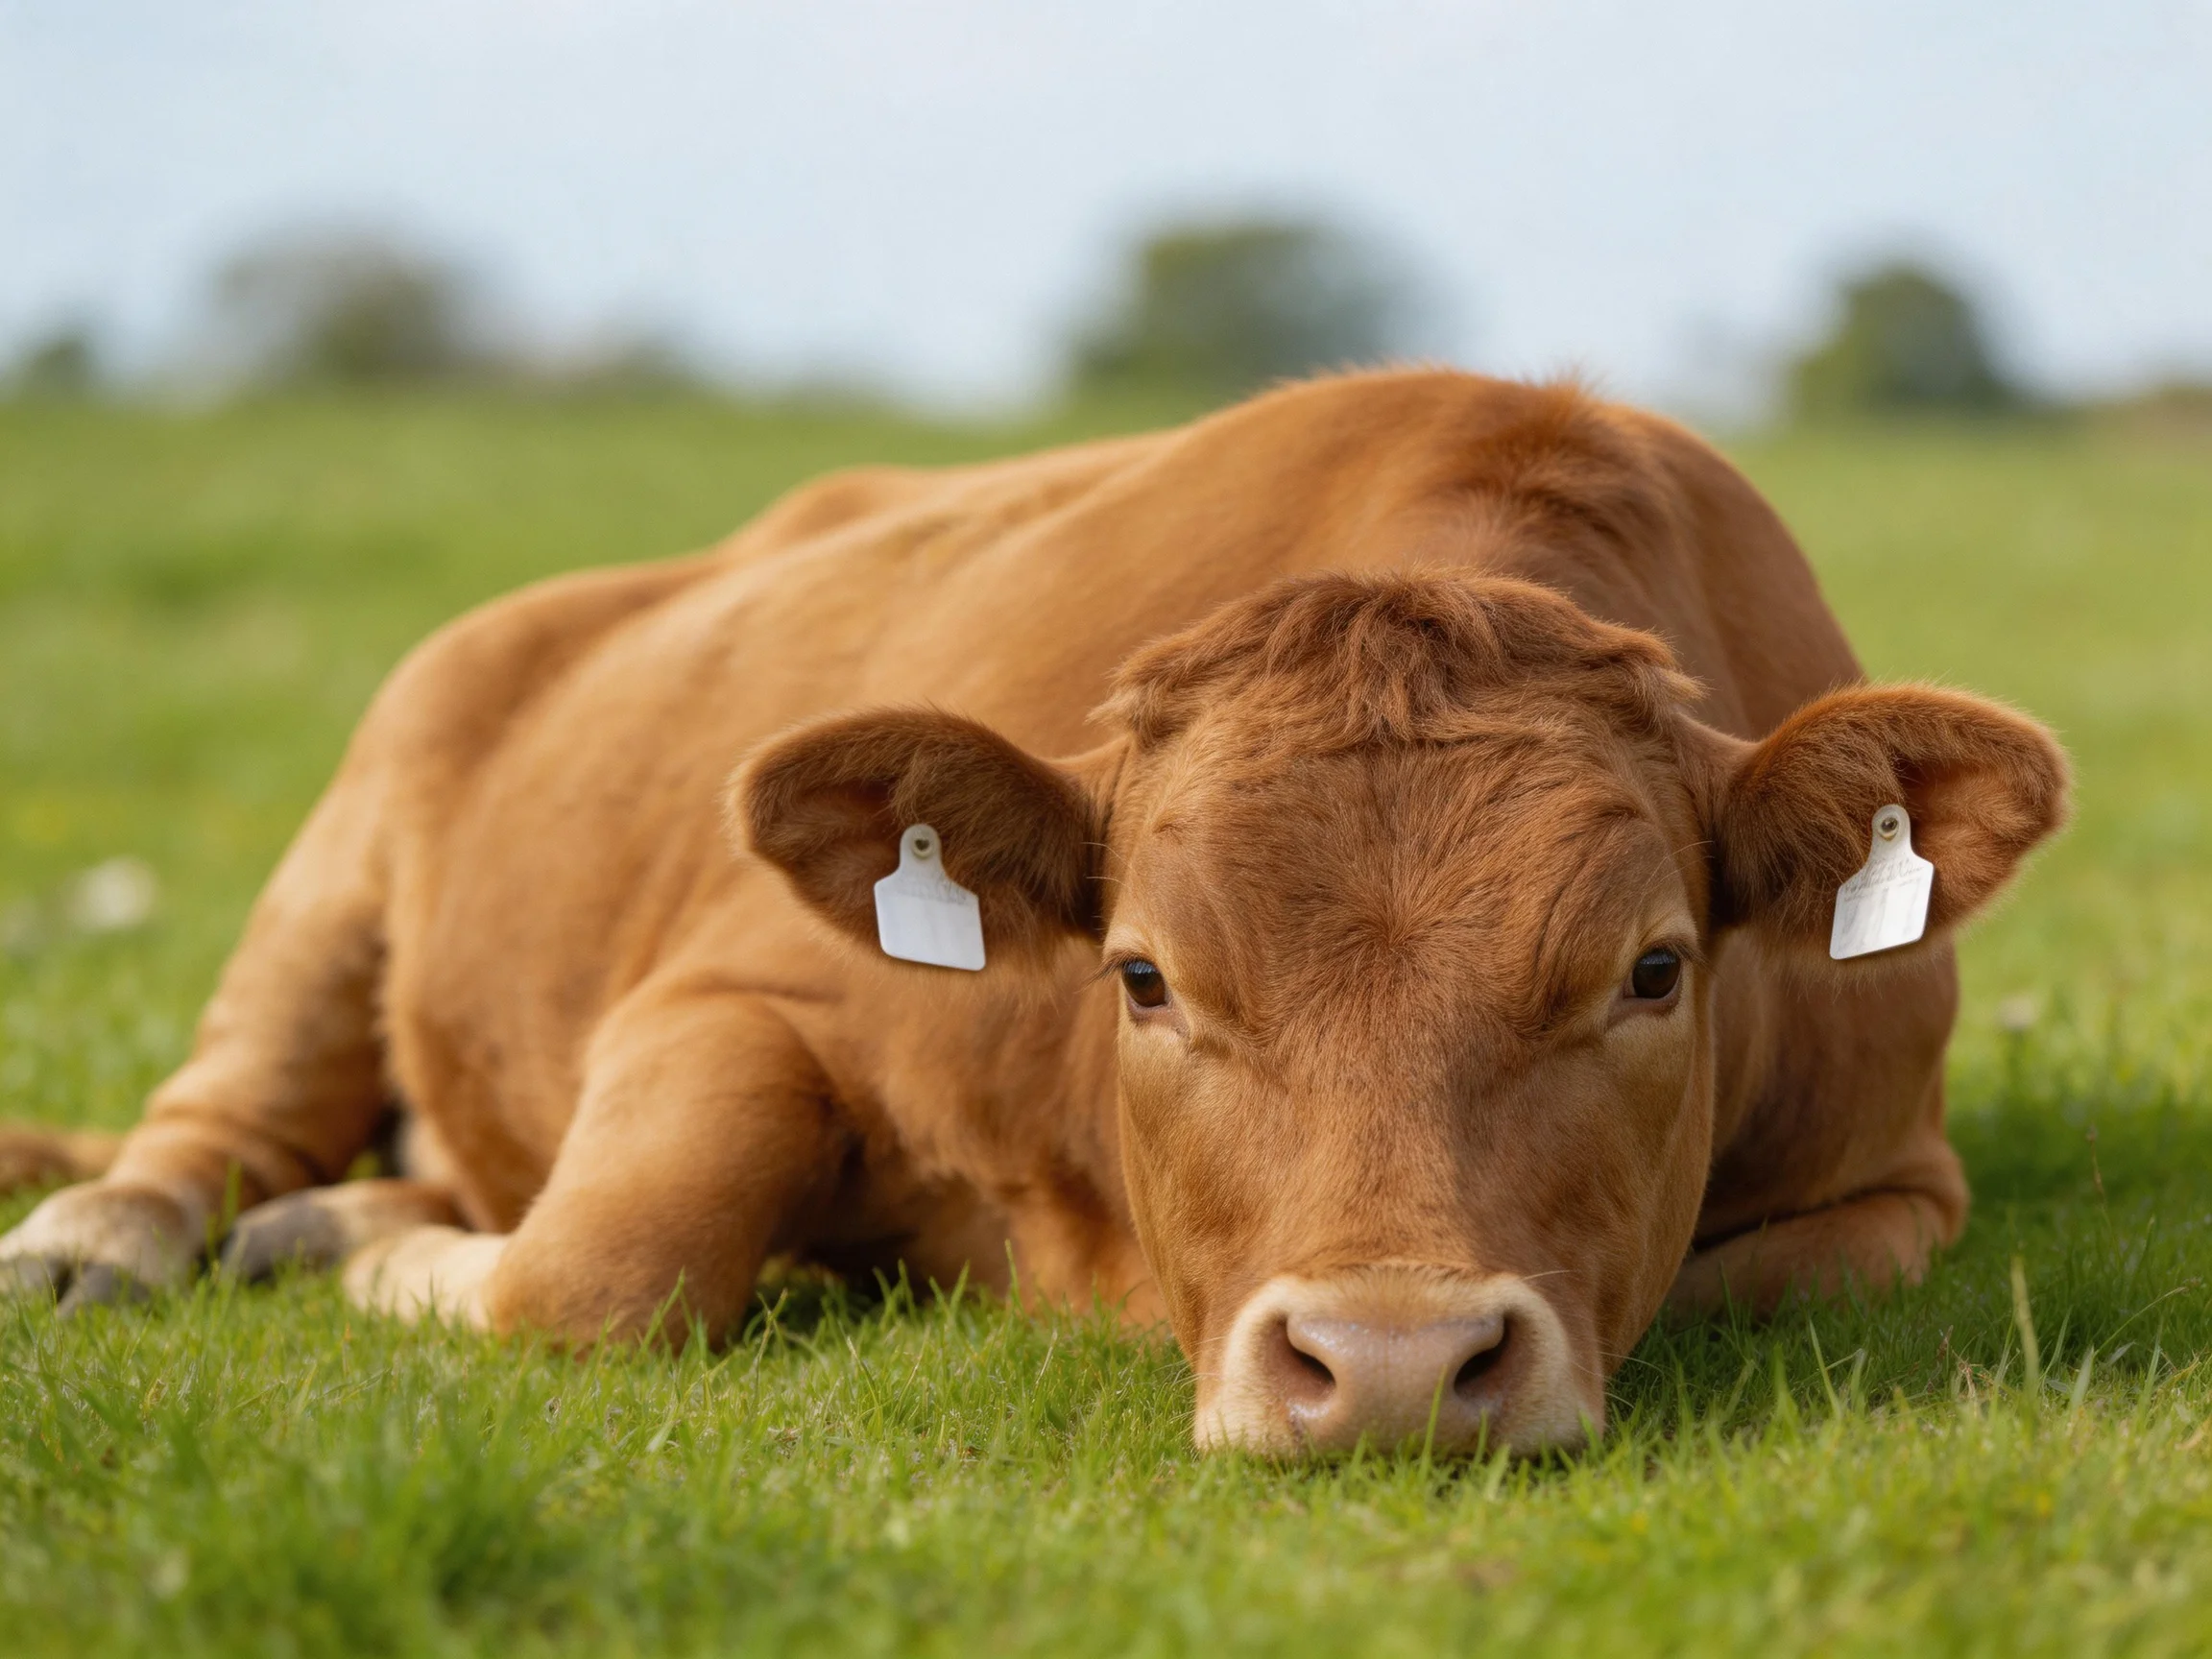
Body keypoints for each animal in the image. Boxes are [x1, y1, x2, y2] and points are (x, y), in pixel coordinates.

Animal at [0, 372, 2068, 1455]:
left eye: (1650, 970)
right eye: (1141, 975)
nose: (1391, 1368)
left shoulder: (1903, 1182)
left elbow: (1748, 1276)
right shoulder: (735, 990)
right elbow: (596, 1275)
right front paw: (377, 1262)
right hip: (359, 829)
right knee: (219, 1113)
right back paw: (122, 1234)